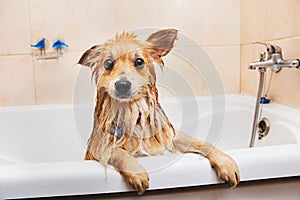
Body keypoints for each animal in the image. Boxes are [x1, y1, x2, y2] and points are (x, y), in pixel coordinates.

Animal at [77, 28, 239, 194]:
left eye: (139, 61)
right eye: (108, 63)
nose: (122, 85)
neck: (132, 112)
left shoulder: (168, 137)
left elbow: (201, 143)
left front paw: (225, 161)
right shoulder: (98, 147)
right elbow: (117, 151)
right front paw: (136, 171)